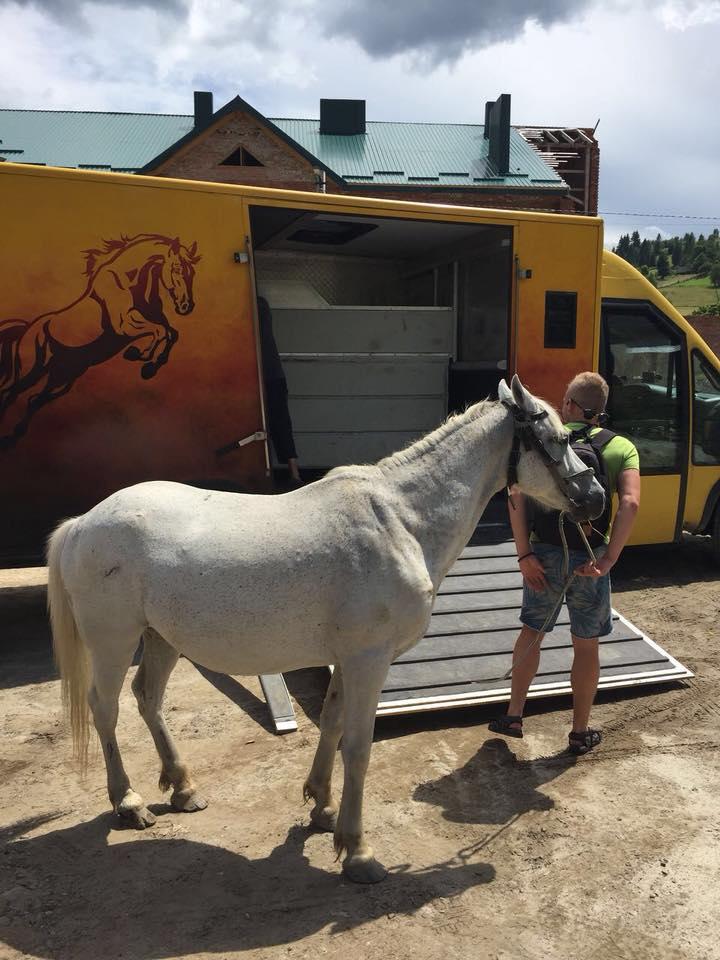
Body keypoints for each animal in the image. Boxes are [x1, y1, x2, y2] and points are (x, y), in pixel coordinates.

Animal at [47, 372, 604, 880]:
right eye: (559, 438)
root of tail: (83, 523)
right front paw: (357, 851)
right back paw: (128, 801)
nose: (596, 498)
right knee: (105, 708)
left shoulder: (346, 660)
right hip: (114, 640)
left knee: (148, 698)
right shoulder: (368, 661)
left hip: (161, 637)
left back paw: (183, 789)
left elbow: (333, 726)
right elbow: (357, 747)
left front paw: (322, 806)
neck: (400, 520)